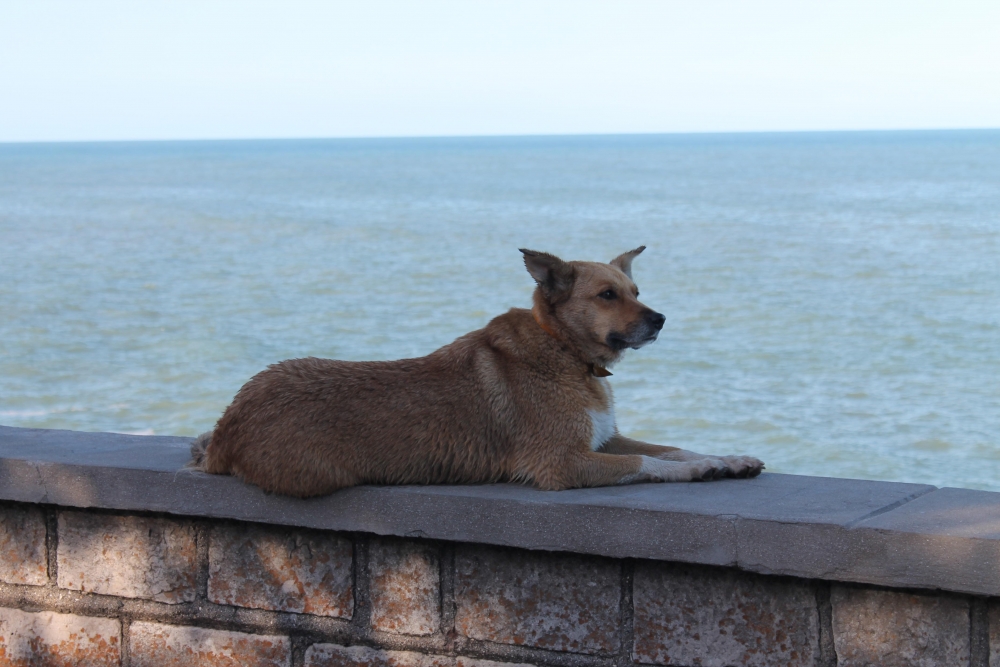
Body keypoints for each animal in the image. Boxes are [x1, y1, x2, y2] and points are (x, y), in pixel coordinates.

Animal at [189, 248, 764, 498]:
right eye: (607, 295)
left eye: (636, 292)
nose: (660, 318)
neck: (563, 351)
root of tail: (227, 425)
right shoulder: (563, 463)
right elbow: (650, 464)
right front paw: (702, 470)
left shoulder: (601, 441)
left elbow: (670, 449)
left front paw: (726, 459)